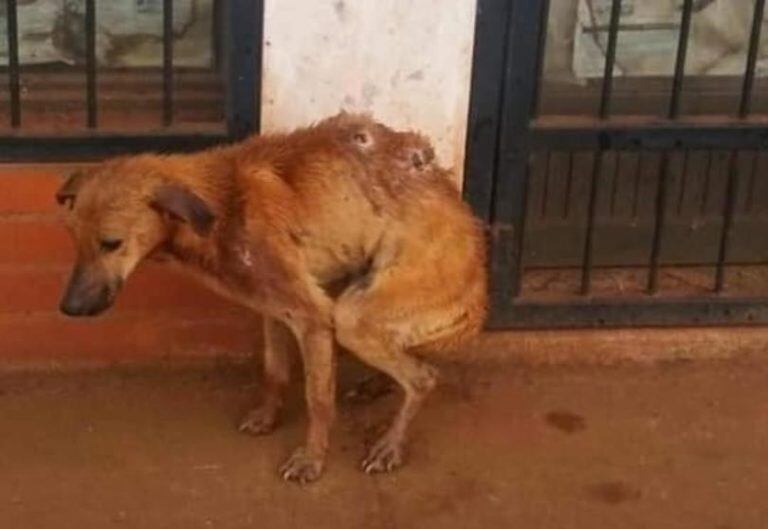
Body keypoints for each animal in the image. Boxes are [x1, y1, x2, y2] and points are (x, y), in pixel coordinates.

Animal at [57, 112, 486, 482]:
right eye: (74, 239)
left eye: (111, 244)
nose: (68, 309)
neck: (224, 206)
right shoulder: (275, 311)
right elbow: (275, 371)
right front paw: (267, 416)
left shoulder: (313, 318)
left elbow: (318, 400)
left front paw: (311, 459)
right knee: (412, 360)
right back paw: (376, 385)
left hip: (352, 316)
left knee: (423, 378)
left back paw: (390, 445)